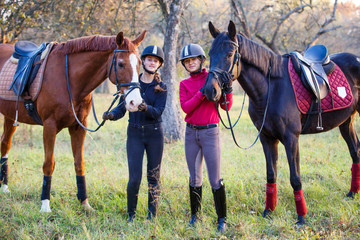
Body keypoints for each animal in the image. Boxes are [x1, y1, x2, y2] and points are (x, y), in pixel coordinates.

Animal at [0, 30, 146, 212]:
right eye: (120, 64)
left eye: (139, 63)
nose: (136, 102)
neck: (68, 78)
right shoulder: (49, 126)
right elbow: (49, 164)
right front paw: (45, 205)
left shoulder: (79, 127)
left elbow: (79, 163)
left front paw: (84, 203)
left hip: (10, 116)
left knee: (5, 144)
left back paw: (4, 187)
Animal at [204, 21, 360, 225]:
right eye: (210, 53)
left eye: (230, 54)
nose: (210, 90)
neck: (271, 89)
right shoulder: (267, 138)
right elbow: (271, 174)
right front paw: (268, 211)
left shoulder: (291, 138)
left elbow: (295, 178)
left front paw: (301, 217)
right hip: (346, 122)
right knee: (355, 151)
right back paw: (352, 193)